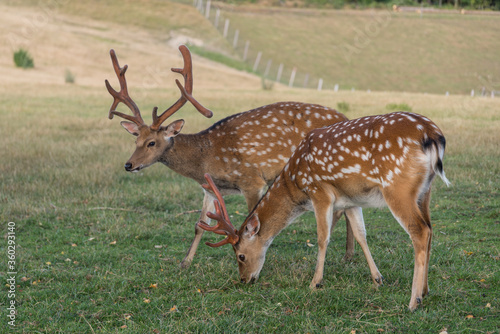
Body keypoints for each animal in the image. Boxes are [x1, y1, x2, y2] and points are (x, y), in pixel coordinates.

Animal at [106, 44, 378, 268]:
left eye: (151, 142)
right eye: (135, 140)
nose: (129, 164)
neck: (205, 159)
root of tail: (345, 117)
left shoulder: (251, 180)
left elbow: (251, 219)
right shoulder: (209, 188)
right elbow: (198, 226)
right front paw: (185, 262)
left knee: (340, 211)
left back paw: (344, 254)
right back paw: (348, 255)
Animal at [198, 111, 450, 310]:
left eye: (240, 255)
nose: (244, 280)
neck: (295, 183)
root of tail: (432, 134)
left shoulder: (319, 191)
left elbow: (322, 237)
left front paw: (315, 282)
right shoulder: (350, 201)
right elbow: (361, 235)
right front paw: (377, 278)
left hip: (397, 186)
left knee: (419, 231)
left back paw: (413, 301)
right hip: (424, 191)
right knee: (430, 229)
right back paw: (425, 291)